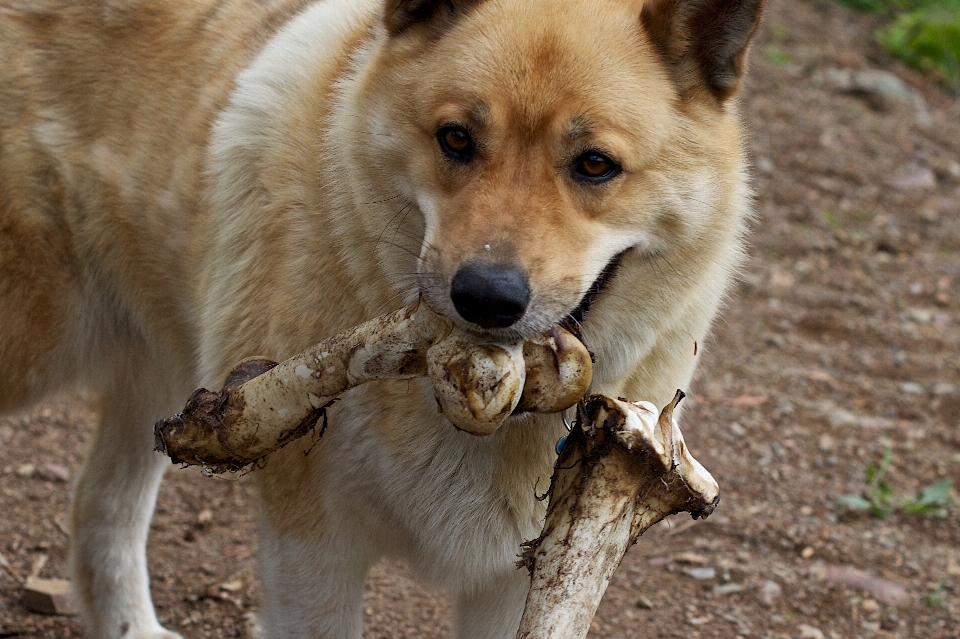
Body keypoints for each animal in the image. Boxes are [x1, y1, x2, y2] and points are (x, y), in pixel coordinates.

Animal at [0, 0, 764, 636]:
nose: (485, 297)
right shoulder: (311, 547)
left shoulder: (516, 580)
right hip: (41, 350)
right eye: (455, 139)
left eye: (595, 165)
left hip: (158, 374)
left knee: (99, 507)